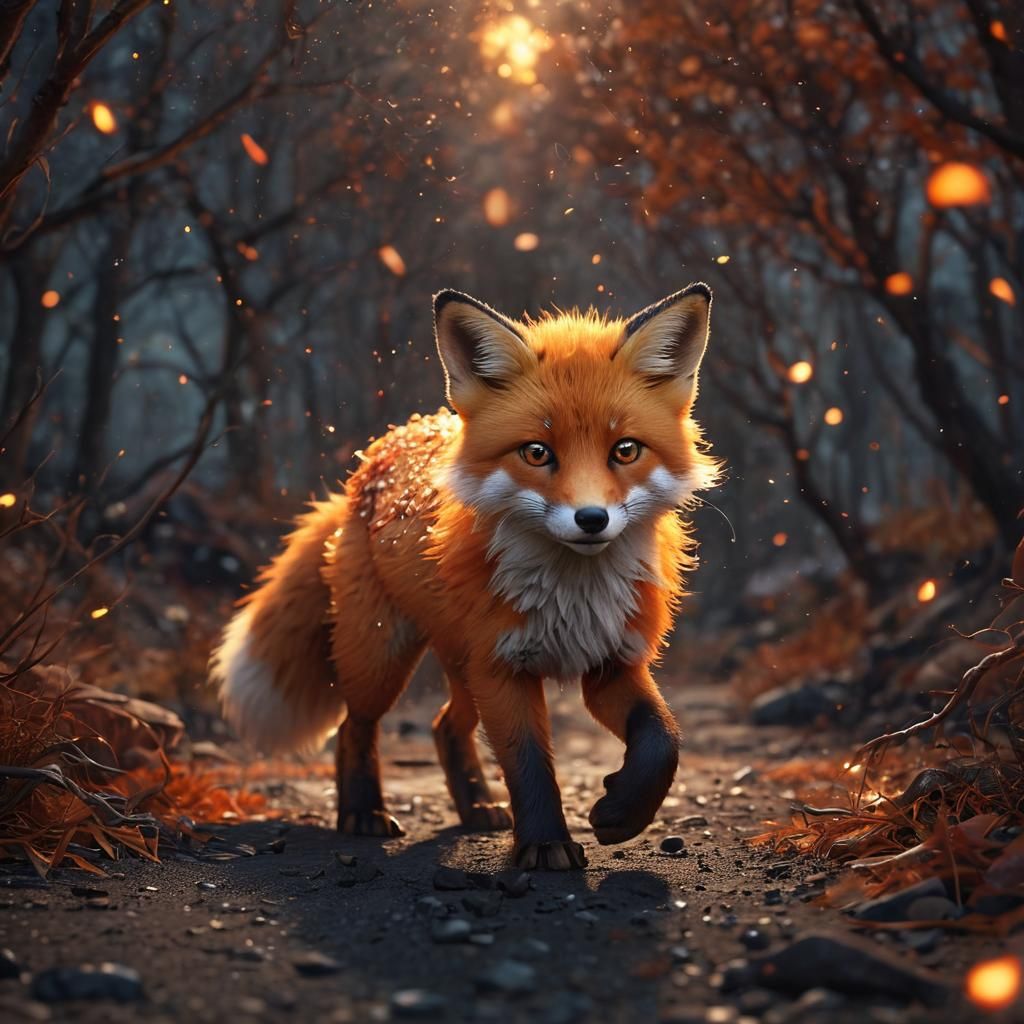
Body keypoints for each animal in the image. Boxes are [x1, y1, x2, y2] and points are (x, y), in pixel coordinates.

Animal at [210, 283, 720, 870]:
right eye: (537, 452)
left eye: (626, 449)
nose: (591, 519)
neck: (571, 594)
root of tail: (367, 463)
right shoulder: (502, 668)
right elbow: (528, 764)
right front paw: (545, 844)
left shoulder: (611, 660)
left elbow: (663, 739)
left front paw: (621, 814)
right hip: (382, 658)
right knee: (353, 726)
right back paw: (361, 812)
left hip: (460, 665)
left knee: (444, 726)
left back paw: (475, 806)